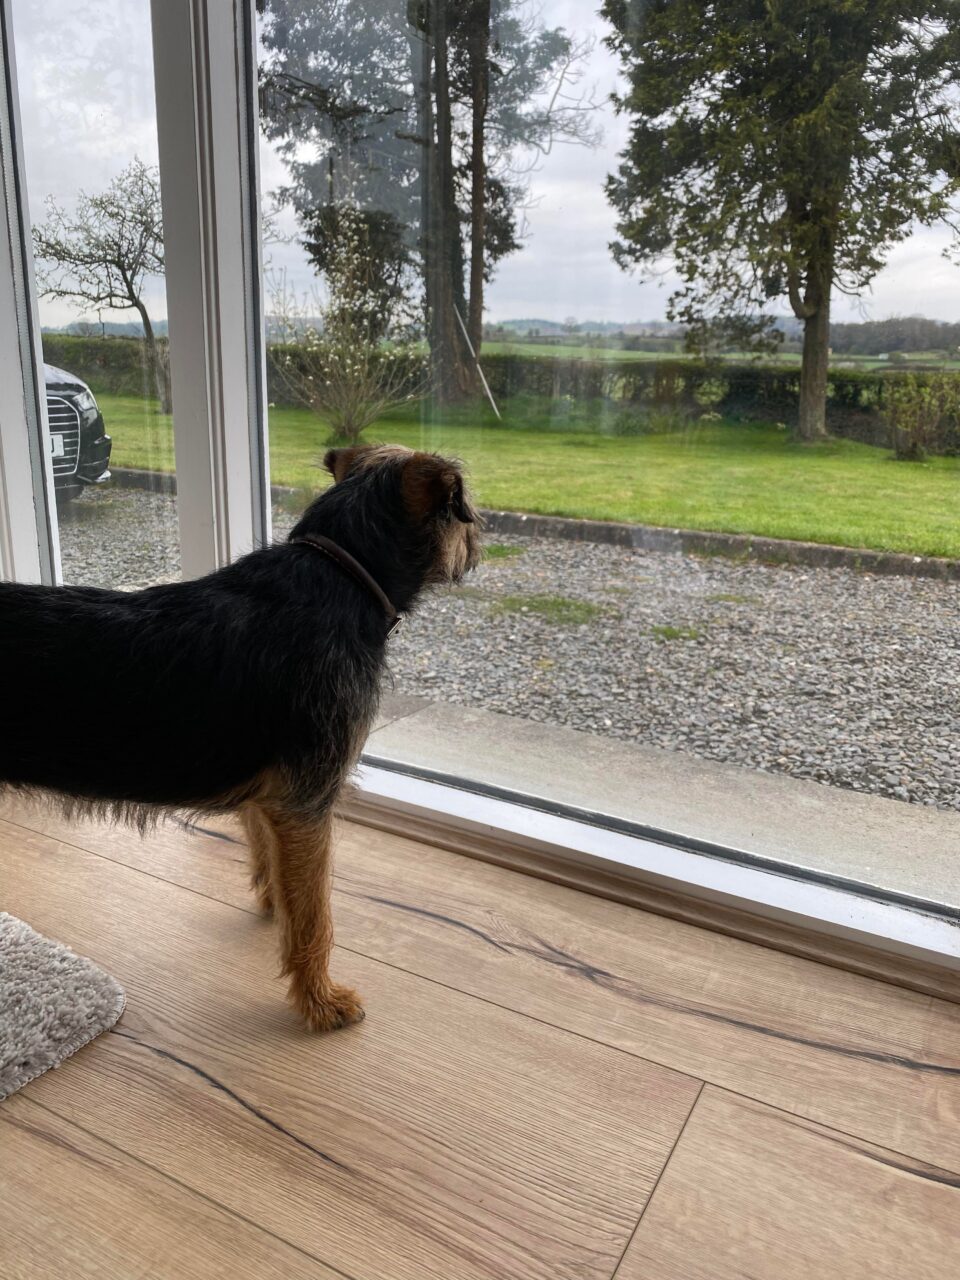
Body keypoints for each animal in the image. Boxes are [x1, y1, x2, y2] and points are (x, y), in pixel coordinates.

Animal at [0, 448, 481, 1029]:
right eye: (461, 507)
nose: (478, 542)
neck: (342, 571)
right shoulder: (307, 802)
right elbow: (316, 915)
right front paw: (321, 1001)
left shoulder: (273, 803)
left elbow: (276, 865)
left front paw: (278, 908)